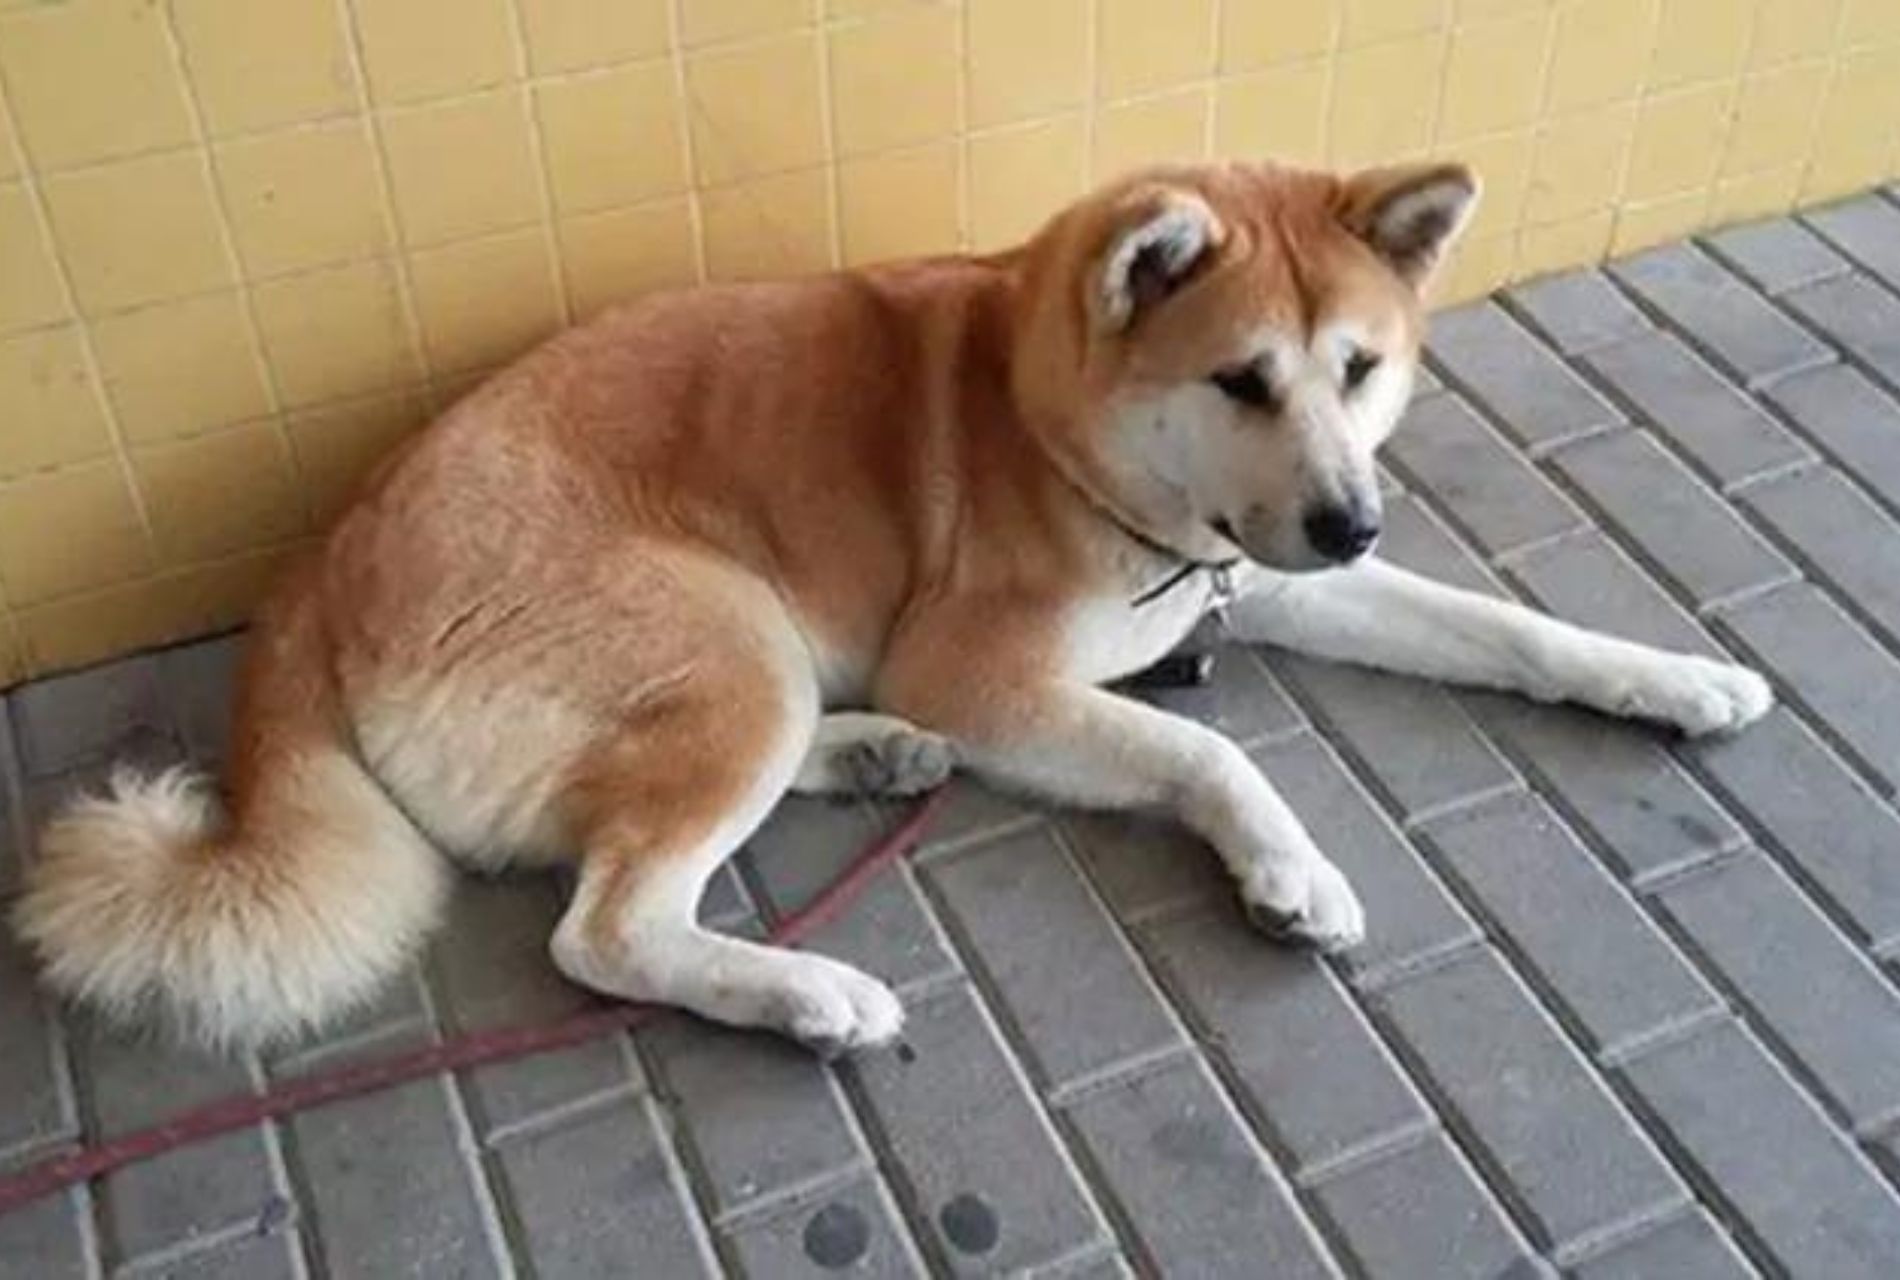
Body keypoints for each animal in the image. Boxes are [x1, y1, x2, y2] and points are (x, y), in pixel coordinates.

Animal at [14, 162, 1770, 1055]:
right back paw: (808, 994)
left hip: (743, 666)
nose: (1352, 522)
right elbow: (1209, 756)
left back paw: (874, 759)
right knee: (610, 926)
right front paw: (1290, 870)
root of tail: (319, 562)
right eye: (1240, 380)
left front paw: (1672, 679)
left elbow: (1514, 630)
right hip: (728, 637)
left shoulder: (1255, 584)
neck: (1064, 438)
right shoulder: (985, 671)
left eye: (1359, 369)